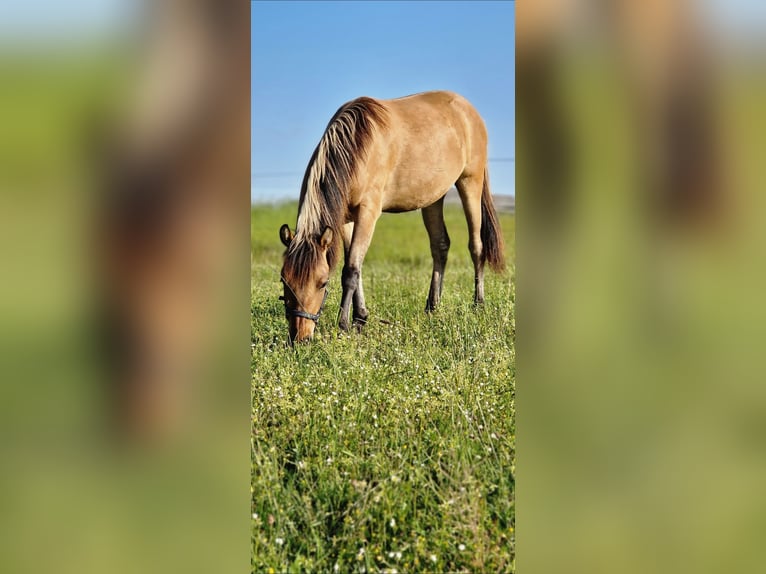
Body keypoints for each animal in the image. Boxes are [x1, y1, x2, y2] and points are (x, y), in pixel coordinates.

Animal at [280, 89, 508, 342]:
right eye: (284, 281)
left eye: (322, 283)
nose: (300, 337)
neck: (358, 145)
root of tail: (468, 110)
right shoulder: (346, 218)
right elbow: (355, 265)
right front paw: (360, 318)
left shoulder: (368, 212)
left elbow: (351, 270)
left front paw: (344, 325)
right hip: (433, 197)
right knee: (440, 246)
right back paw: (433, 306)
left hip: (470, 182)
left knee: (476, 246)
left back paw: (478, 304)